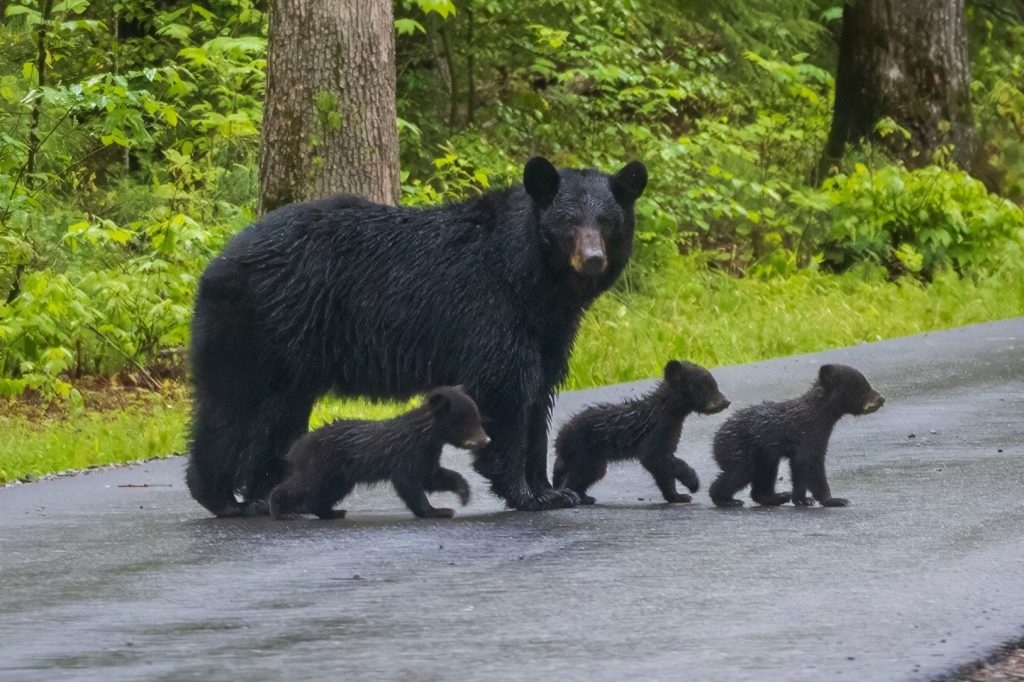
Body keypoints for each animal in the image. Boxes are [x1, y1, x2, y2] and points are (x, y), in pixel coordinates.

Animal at [268, 385, 491, 518]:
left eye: (478, 418)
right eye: (466, 422)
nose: (485, 440)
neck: (425, 434)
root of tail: (296, 448)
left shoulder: (427, 454)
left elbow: (432, 477)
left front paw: (464, 493)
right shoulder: (405, 453)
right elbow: (408, 483)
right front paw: (436, 510)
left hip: (340, 475)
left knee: (326, 492)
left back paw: (332, 512)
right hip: (320, 465)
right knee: (303, 485)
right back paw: (280, 509)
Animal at [552, 358, 729, 501]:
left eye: (715, 385)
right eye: (704, 388)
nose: (726, 402)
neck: (669, 412)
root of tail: (560, 438)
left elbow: (662, 467)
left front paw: (676, 495)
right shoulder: (657, 432)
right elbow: (654, 457)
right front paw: (691, 484)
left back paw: (585, 496)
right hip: (583, 451)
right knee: (578, 474)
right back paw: (572, 495)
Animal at [708, 366, 884, 503]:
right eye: (864, 387)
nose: (882, 398)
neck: (820, 412)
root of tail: (715, 440)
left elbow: (799, 466)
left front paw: (802, 499)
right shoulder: (811, 431)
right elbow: (809, 460)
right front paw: (833, 500)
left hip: (763, 454)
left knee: (765, 472)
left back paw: (776, 497)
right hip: (739, 448)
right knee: (741, 471)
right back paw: (724, 499)